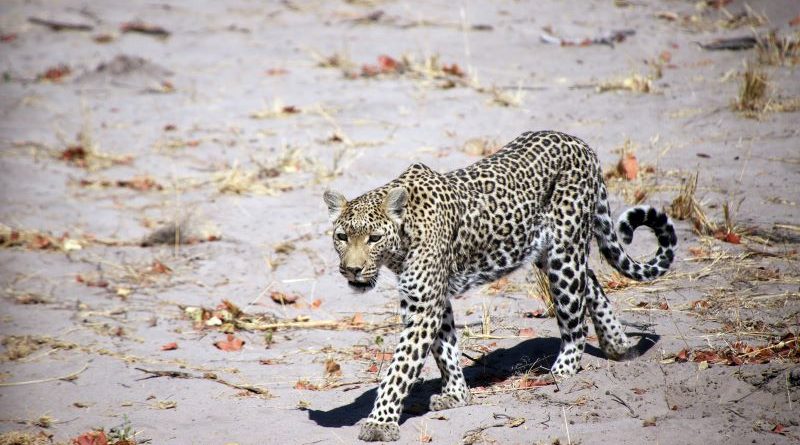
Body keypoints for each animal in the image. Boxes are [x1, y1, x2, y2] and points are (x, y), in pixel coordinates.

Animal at [322, 130, 677, 442]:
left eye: (374, 238)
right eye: (341, 237)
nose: (352, 269)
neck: (401, 241)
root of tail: (581, 144)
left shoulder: (424, 305)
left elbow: (400, 367)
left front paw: (379, 423)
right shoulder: (432, 299)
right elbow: (445, 348)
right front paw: (456, 395)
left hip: (564, 253)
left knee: (575, 321)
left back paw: (563, 369)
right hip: (548, 253)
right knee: (592, 283)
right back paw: (617, 345)